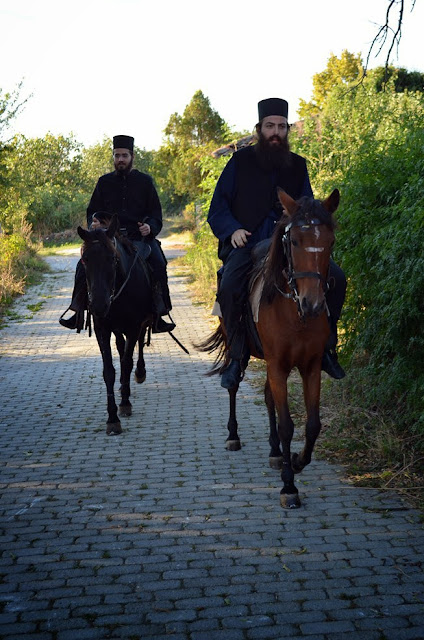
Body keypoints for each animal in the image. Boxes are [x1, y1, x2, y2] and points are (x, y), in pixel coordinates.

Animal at [200, 188, 342, 508]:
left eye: (330, 241)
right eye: (295, 241)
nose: (314, 304)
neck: (295, 312)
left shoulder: (311, 366)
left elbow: (312, 424)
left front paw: (296, 460)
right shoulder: (278, 365)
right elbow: (288, 424)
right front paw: (289, 486)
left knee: (267, 398)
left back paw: (276, 453)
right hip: (240, 350)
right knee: (233, 384)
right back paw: (233, 436)